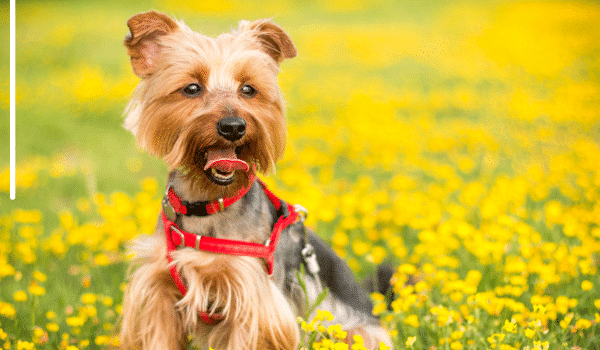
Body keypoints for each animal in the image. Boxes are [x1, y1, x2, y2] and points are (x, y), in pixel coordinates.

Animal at [118, 10, 394, 350]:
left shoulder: (253, 298)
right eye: (192, 88)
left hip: (356, 331)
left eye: (248, 89)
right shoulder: (158, 291)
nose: (233, 126)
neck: (208, 202)